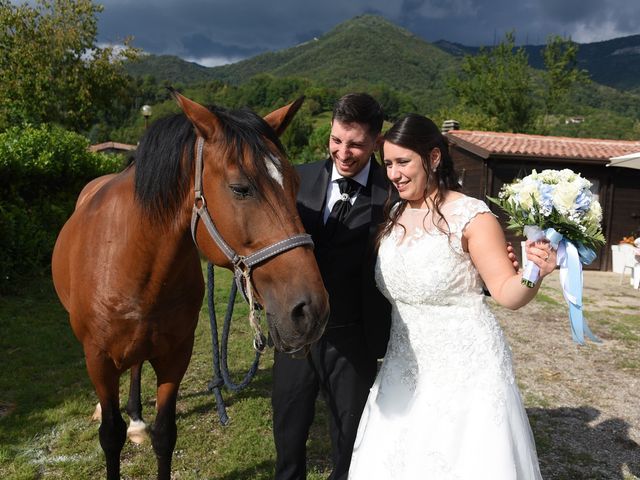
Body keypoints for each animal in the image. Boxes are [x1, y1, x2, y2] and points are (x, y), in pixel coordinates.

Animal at [52, 91, 328, 480]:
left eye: (295, 184)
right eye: (240, 188)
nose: (311, 310)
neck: (129, 256)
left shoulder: (176, 355)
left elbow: (165, 435)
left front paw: (144, 426)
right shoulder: (99, 358)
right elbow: (109, 435)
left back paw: (137, 419)